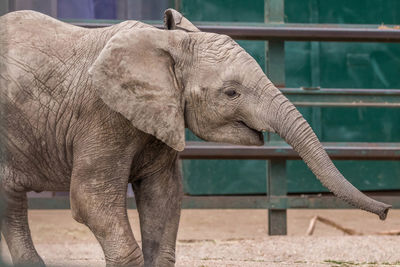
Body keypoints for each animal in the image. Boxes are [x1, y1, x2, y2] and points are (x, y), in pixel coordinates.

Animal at [0, 7, 390, 267]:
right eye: (231, 92)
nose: (386, 211)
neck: (165, 45)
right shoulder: (101, 114)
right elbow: (90, 200)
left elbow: (164, 198)